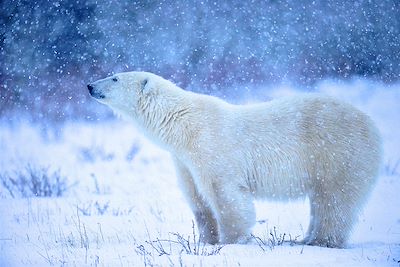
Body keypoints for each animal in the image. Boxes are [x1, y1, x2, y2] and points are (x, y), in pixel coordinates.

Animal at [87, 71, 382, 249]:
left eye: (114, 78)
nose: (90, 85)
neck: (182, 125)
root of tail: (372, 125)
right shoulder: (183, 161)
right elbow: (198, 200)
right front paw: (205, 241)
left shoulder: (211, 148)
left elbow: (225, 196)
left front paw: (231, 242)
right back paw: (304, 239)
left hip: (338, 153)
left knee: (334, 199)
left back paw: (320, 241)